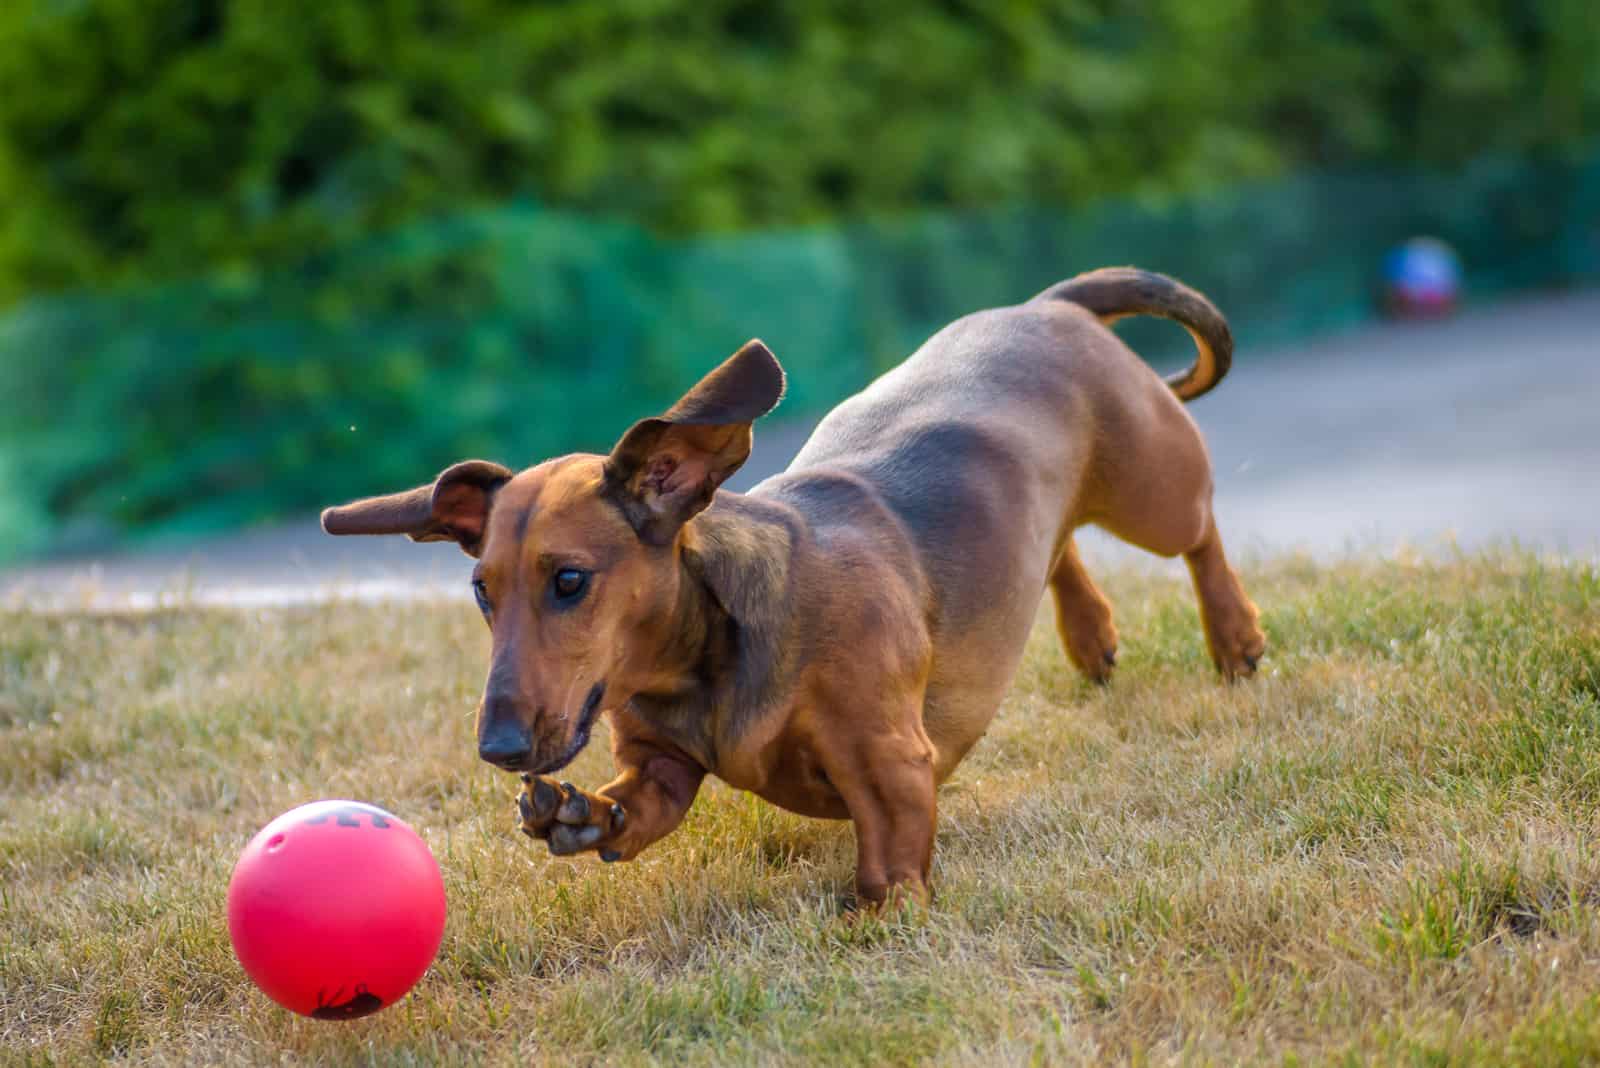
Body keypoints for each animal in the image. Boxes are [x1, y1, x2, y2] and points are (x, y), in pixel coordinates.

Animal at [324, 268, 1267, 908]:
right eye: (482, 591)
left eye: (569, 580)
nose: (500, 748)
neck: (712, 656)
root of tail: (1048, 306)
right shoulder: (660, 760)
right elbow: (644, 803)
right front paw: (580, 816)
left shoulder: (887, 762)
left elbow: (891, 859)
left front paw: (880, 917)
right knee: (1059, 547)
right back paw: (1090, 634)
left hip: (1153, 490)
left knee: (1201, 536)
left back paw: (1234, 635)